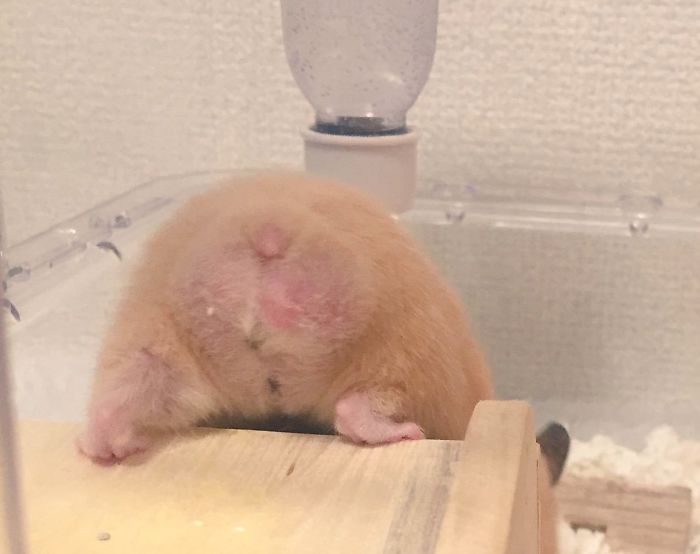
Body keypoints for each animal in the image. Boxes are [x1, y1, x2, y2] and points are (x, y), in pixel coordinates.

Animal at [77, 171, 493, 462]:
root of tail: (270, 226)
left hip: (155, 340)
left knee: (115, 403)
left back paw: (109, 448)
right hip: (407, 355)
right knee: (357, 409)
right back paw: (407, 433)